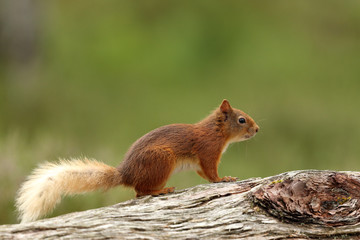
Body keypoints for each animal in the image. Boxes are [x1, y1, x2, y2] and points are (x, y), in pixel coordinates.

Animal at [16, 98, 258, 222]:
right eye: (241, 120)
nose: (257, 129)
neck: (215, 132)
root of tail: (126, 174)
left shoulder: (201, 160)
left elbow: (203, 173)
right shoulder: (208, 151)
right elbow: (211, 173)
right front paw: (224, 179)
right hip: (162, 160)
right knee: (140, 191)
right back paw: (162, 190)